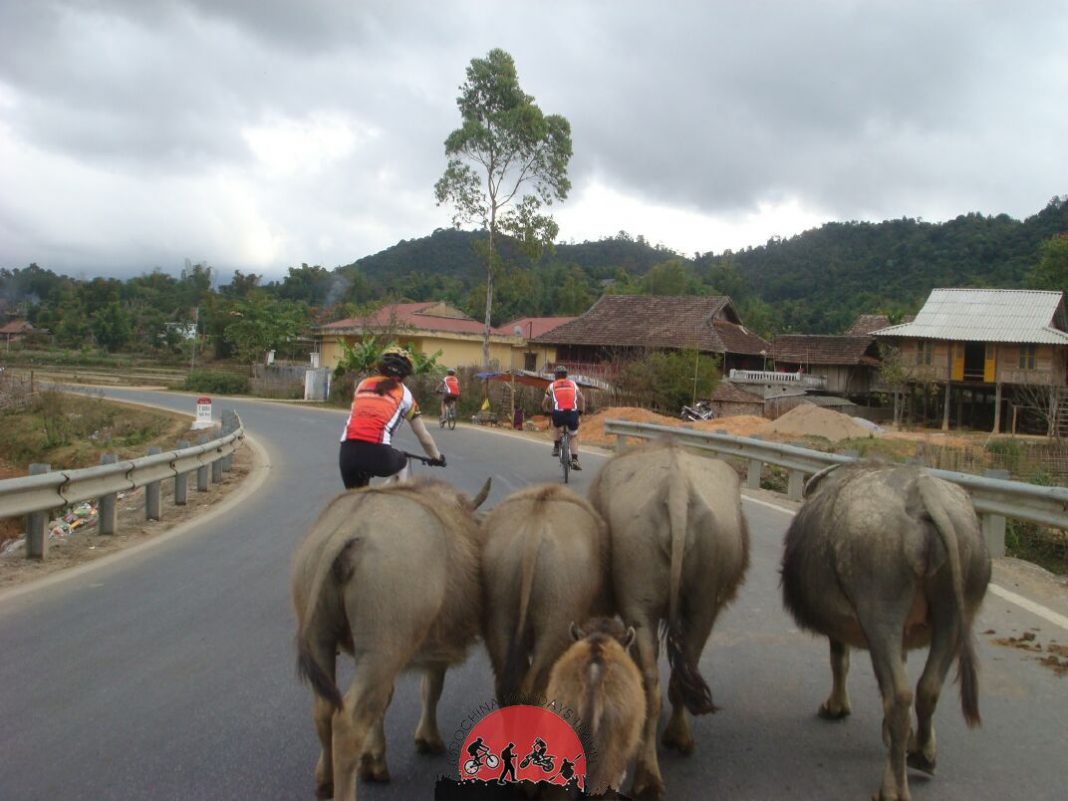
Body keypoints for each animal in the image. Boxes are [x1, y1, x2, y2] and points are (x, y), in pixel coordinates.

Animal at [292, 476, 491, 801]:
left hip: (322, 637)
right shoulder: (436, 648)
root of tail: (347, 530)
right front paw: (428, 739)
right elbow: (431, 688)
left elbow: (385, 701)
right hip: (383, 649)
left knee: (325, 710)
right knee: (349, 721)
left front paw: (373, 760)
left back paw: (325, 780)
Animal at [589, 442, 756, 798]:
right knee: (684, 664)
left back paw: (648, 772)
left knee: (654, 673)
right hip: (702, 596)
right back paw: (670, 747)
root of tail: (677, 489)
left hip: (640, 584)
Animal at [777, 461, 991, 801]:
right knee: (927, 688)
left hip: (881, 615)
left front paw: (836, 707)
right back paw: (922, 753)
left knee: (898, 696)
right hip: (956, 617)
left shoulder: (844, 629)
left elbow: (840, 661)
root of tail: (921, 494)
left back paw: (892, 786)